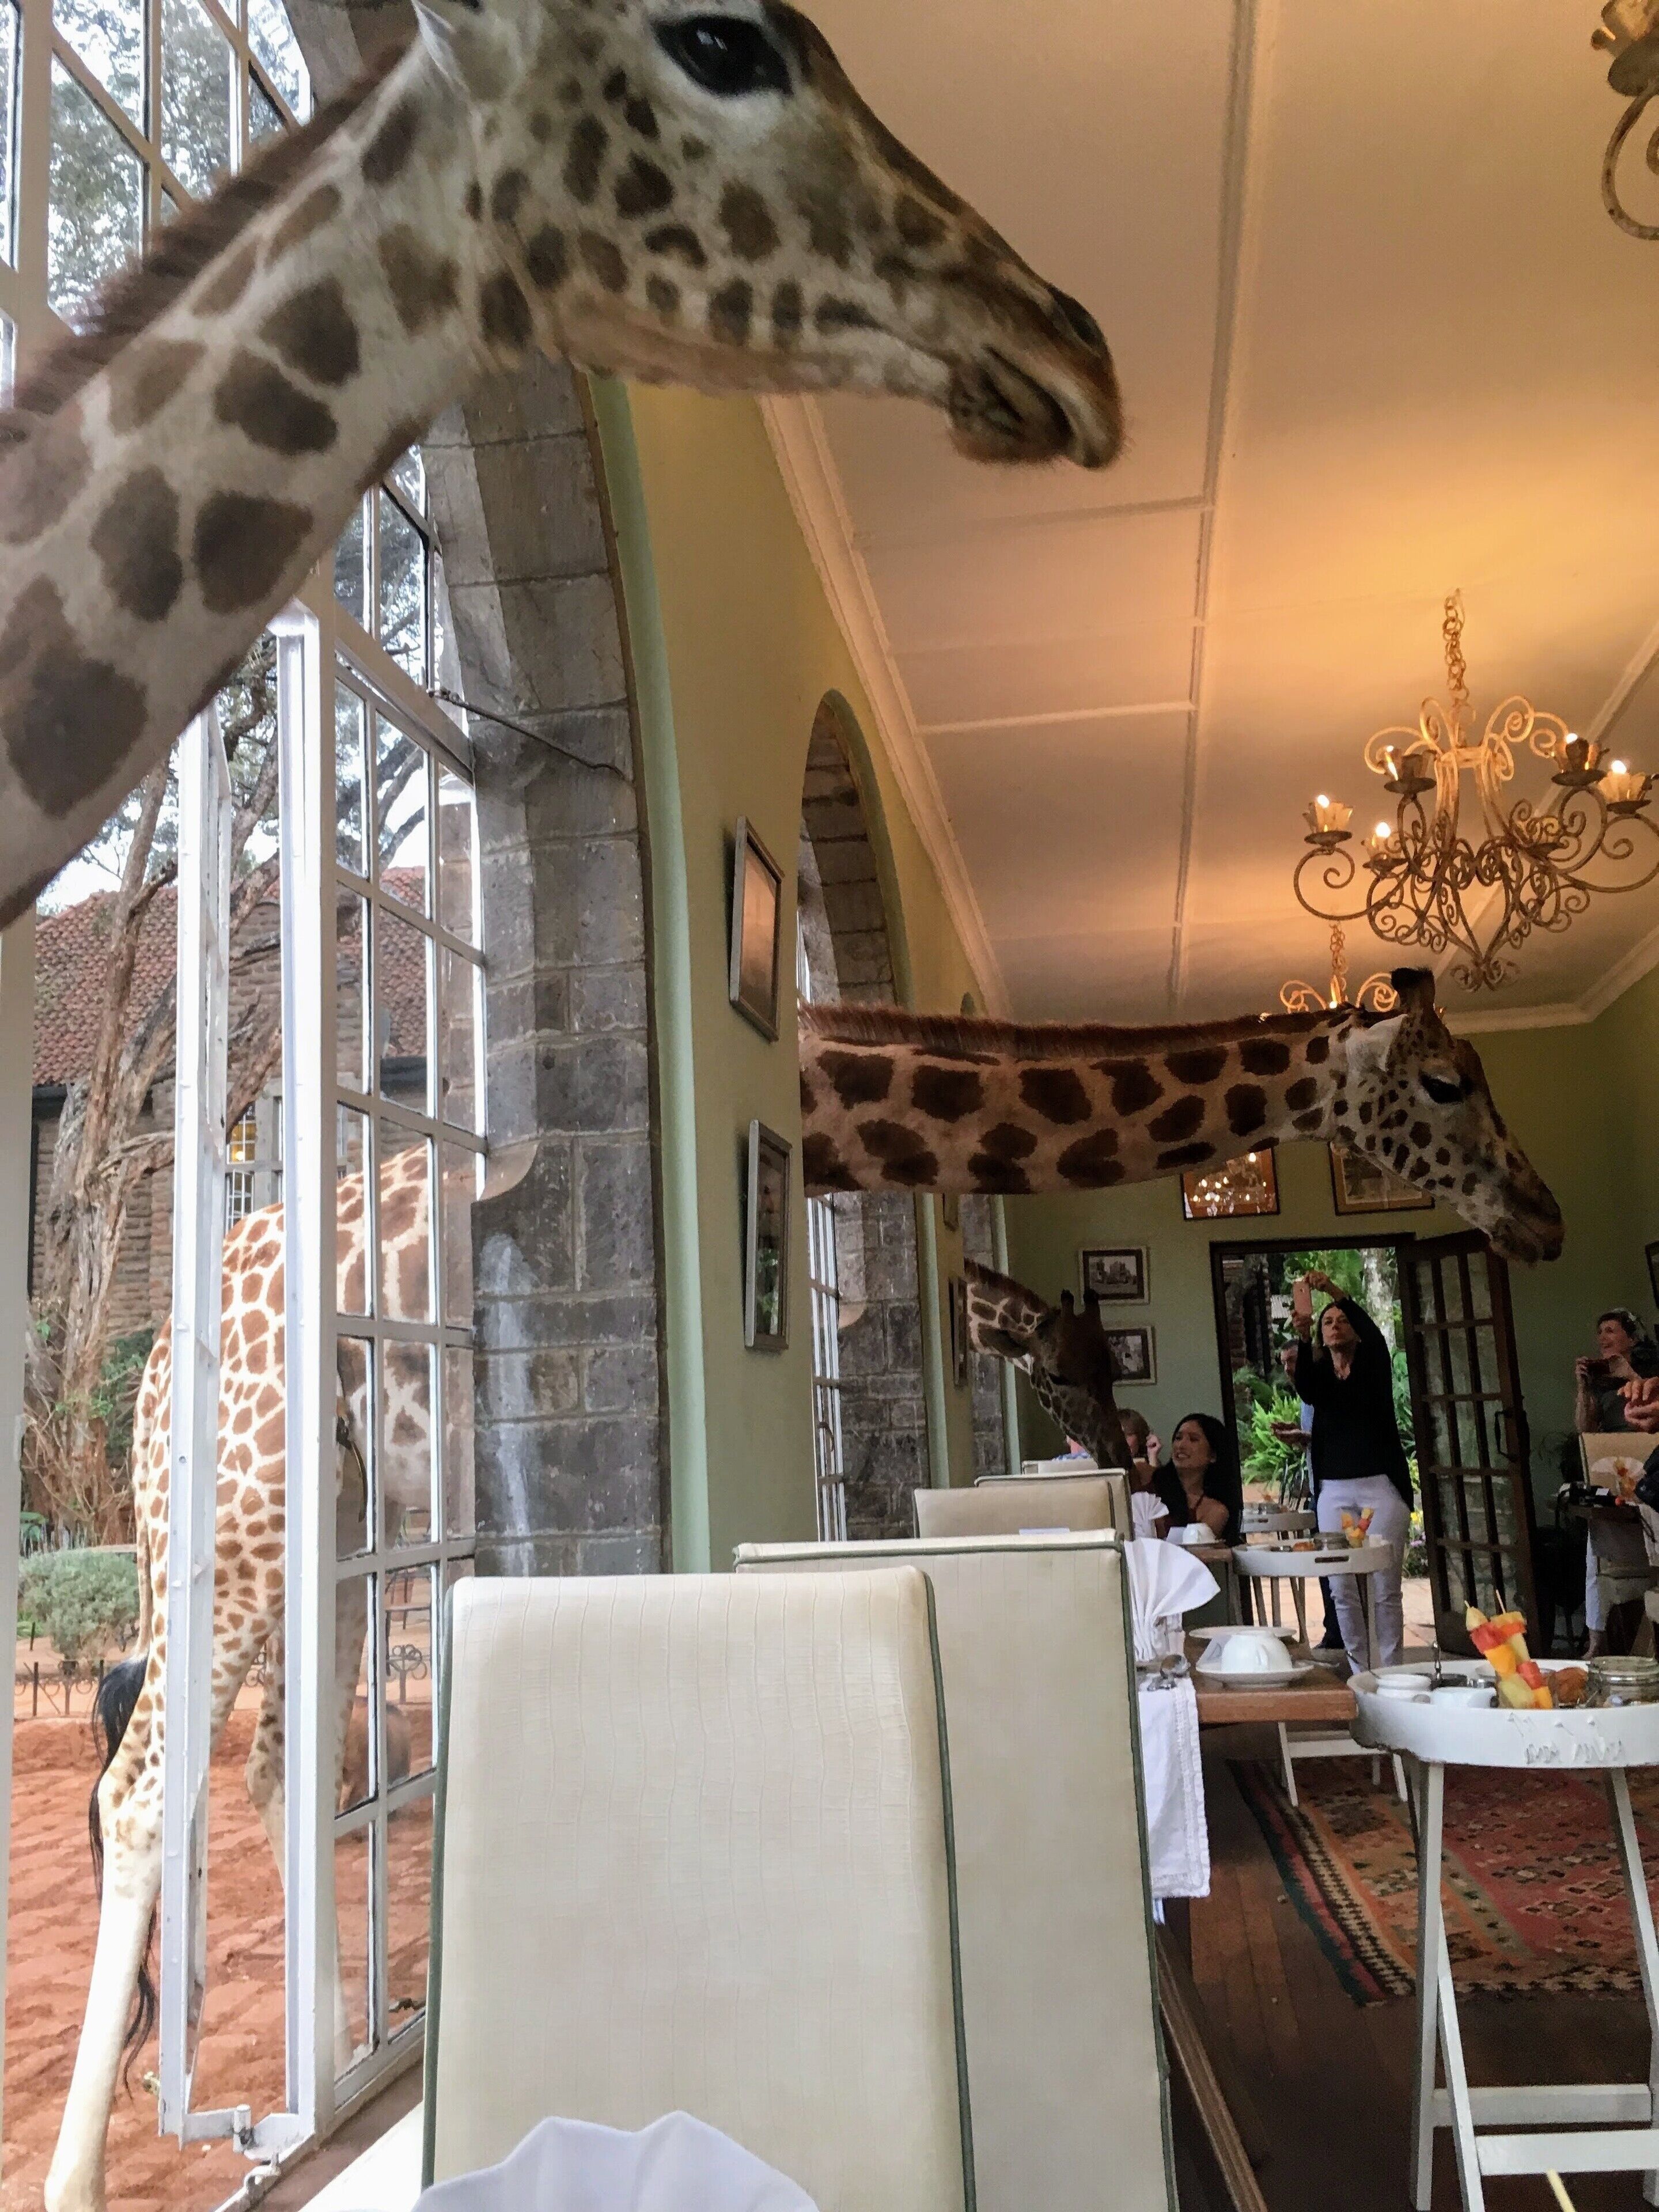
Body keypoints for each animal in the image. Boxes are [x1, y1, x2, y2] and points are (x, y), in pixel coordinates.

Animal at [50, 1143, 431, 2212]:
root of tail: (153, 1376)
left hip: (329, 1524)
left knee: (281, 1768)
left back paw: (338, 2070)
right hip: (244, 1526)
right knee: (138, 1793)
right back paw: (78, 2182)